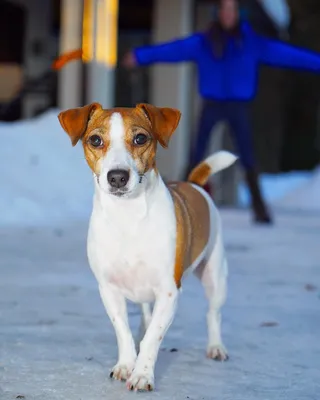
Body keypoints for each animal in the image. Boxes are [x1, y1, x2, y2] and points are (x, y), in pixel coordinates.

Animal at [58, 101, 238, 392]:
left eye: (140, 138)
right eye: (95, 140)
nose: (117, 177)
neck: (128, 217)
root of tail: (195, 184)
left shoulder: (168, 291)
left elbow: (153, 337)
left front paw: (142, 374)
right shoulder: (109, 289)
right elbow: (123, 331)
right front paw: (125, 365)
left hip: (215, 276)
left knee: (213, 313)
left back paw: (216, 347)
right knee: (145, 314)